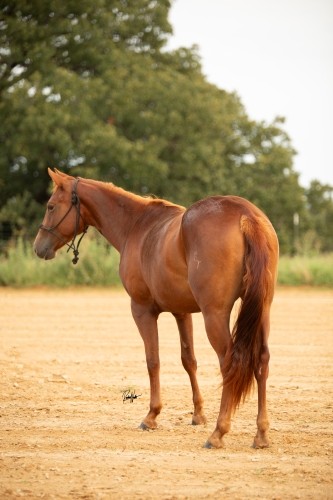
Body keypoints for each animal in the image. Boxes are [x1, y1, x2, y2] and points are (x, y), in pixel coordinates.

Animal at [33, 169, 278, 450]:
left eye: (51, 206)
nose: (38, 246)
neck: (137, 225)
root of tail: (246, 215)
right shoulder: (182, 312)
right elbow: (189, 360)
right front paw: (198, 414)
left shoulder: (142, 310)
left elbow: (153, 361)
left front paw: (152, 416)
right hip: (262, 311)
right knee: (261, 361)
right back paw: (261, 434)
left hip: (215, 316)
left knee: (230, 364)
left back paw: (218, 432)